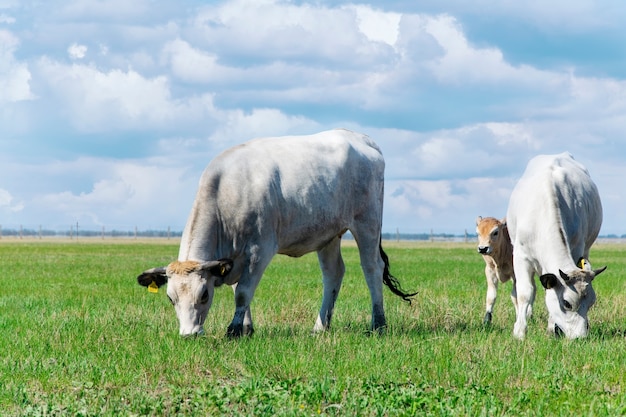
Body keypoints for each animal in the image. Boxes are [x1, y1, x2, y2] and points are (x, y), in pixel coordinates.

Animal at [139, 128, 416, 336]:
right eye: (171, 298)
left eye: (204, 294)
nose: (189, 334)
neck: (225, 195)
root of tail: (360, 137)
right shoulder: (233, 259)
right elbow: (238, 289)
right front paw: (247, 328)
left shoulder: (260, 250)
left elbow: (242, 293)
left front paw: (234, 330)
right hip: (328, 233)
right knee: (333, 273)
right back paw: (320, 327)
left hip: (367, 222)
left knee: (372, 268)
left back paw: (378, 324)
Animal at [504, 152, 604, 338]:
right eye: (567, 303)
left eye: (591, 303)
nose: (580, 337)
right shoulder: (521, 256)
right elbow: (525, 292)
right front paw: (520, 331)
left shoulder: (576, 250)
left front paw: (552, 329)